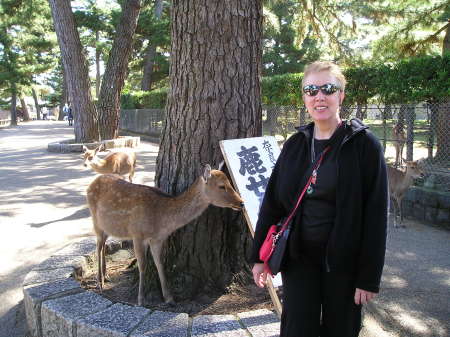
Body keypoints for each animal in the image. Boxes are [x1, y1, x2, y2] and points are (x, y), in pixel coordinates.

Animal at [86, 163, 244, 304]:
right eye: (221, 186)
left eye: (230, 182)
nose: (241, 203)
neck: (161, 221)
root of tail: (91, 183)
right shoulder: (137, 234)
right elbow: (143, 265)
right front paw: (140, 299)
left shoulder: (158, 239)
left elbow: (160, 263)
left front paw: (169, 298)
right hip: (95, 220)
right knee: (98, 245)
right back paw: (100, 281)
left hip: (107, 225)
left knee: (103, 244)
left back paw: (106, 275)